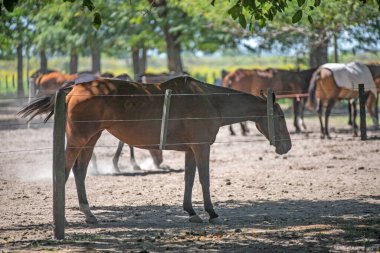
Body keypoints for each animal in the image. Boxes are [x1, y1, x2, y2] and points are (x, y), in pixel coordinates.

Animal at [19, 76, 292, 224]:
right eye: (280, 116)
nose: (287, 145)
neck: (210, 100)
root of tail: (75, 88)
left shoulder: (191, 150)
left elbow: (189, 179)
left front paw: (191, 212)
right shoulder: (202, 148)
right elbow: (204, 179)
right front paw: (212, 213)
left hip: (91, 139)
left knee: (80, 173)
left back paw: (89, 214)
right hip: (79, 139)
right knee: (64, 172)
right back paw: (63, 218)